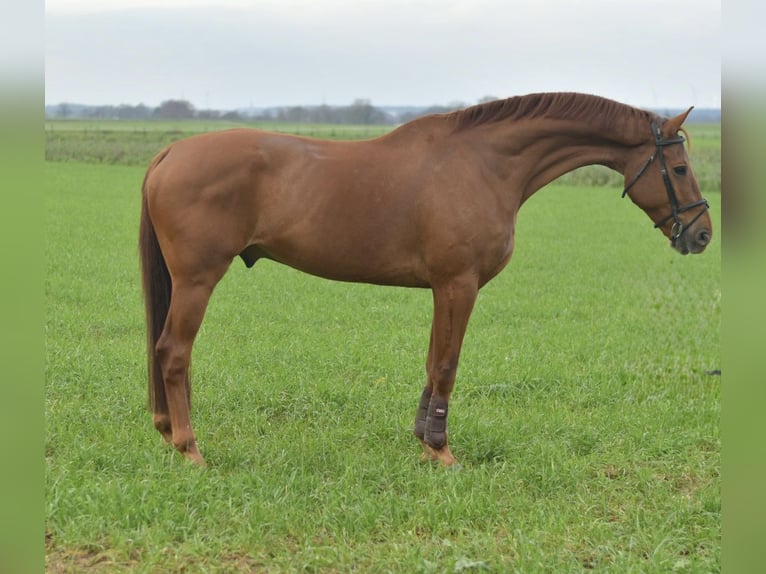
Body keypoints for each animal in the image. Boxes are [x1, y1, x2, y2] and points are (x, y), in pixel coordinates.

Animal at [139, 92, 712, 467]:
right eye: (681, 168)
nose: (702, 233)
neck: (484, 163)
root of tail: (171, 152)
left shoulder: (444, 287)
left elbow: (433, 363)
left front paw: (424, 442)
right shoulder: (459, 284)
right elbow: (447, 366)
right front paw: (441, 451)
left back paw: (168, 433)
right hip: (197, 280)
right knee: (173, 352)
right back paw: (189, 448)